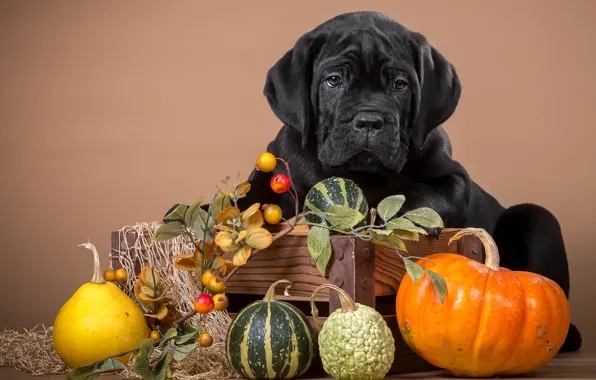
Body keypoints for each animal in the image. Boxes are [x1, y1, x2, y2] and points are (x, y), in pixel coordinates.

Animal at [199, 11, 584, 350]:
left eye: (399, 85)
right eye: (333, 80)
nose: (369, 120)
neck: (364, 176)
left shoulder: (456, 178)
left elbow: (427, 189)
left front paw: (405, 215)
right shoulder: (276, 169)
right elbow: (250, 197)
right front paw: (221, 219)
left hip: (539, 218)